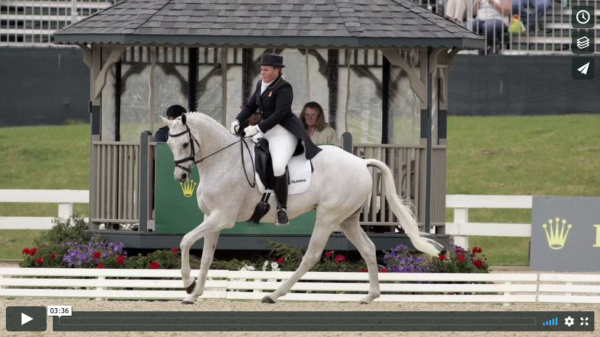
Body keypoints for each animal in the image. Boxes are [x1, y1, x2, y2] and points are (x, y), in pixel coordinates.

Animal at [159, 113, 440, 304]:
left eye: (184, 144)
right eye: (170, 145)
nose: (180, 177)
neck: (223, 160)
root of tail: (361, 162)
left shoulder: (222, 218)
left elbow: (185, 241)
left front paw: (188, 284)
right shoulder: (212, 217)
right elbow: (207, 256)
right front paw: (193, 294)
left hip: (328, 217)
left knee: (312, 255)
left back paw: (274, 294)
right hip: (347, 220)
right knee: (369, 249)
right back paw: (370, 296)